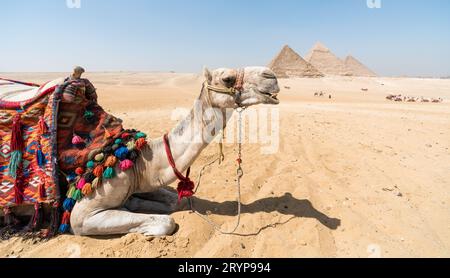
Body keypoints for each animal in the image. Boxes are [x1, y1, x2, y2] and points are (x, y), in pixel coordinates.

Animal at [67, 66, 280, 236]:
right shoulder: (81, 215)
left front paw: (135, 204)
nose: (271, 76)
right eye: (228, 78)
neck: (137, 160)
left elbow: (176, 202)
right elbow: (166, 221)